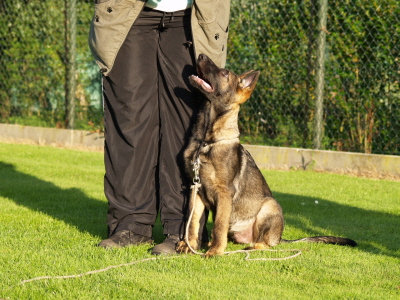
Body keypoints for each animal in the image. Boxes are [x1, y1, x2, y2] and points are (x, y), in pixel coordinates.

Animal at [177, 54, 358, 258]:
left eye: (224, 73)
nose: (200, 55)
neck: (205, 141)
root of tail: (279, 237)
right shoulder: (196, 189)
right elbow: (192, 222)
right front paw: (189, 245)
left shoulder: (224, 194)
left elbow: (218, 226)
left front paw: (215, 251)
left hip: (269, 206)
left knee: (267, 243)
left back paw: (253, 247)